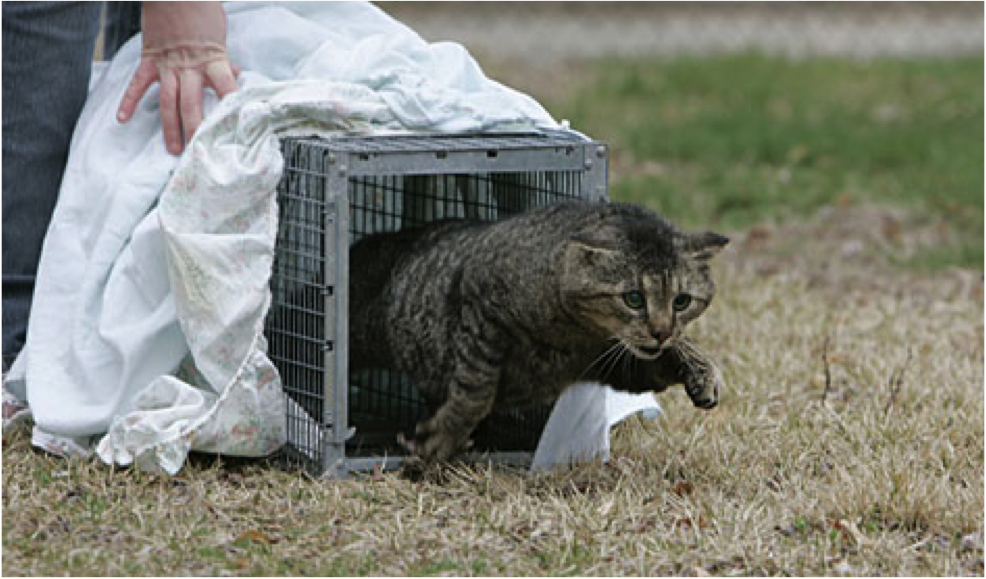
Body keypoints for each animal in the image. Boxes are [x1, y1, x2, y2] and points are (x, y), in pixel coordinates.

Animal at [350, 199, 728, 462]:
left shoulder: (616, 364)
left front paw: (701, 372)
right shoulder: (480, 312)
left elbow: (670, 358)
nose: (661, 332)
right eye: (633, 298)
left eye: (682, 301)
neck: (574, 330)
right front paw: (444, 438)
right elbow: (476, 391)